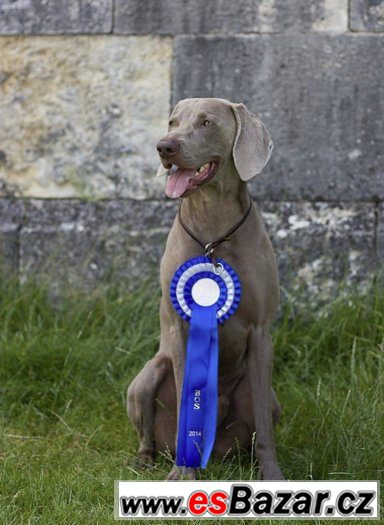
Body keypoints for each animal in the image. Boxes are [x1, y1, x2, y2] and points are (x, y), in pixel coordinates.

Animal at [127, 95, 284, 478]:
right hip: (147, 376)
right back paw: (145, 460)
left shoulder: (261, 333)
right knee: (147, 433)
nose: (164, 147)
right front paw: (183, 476)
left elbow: (264, 425)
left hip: (269, 398)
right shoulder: (181, 328)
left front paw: (272, 475)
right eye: (173, 122)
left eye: (207, 123)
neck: (214, 227)